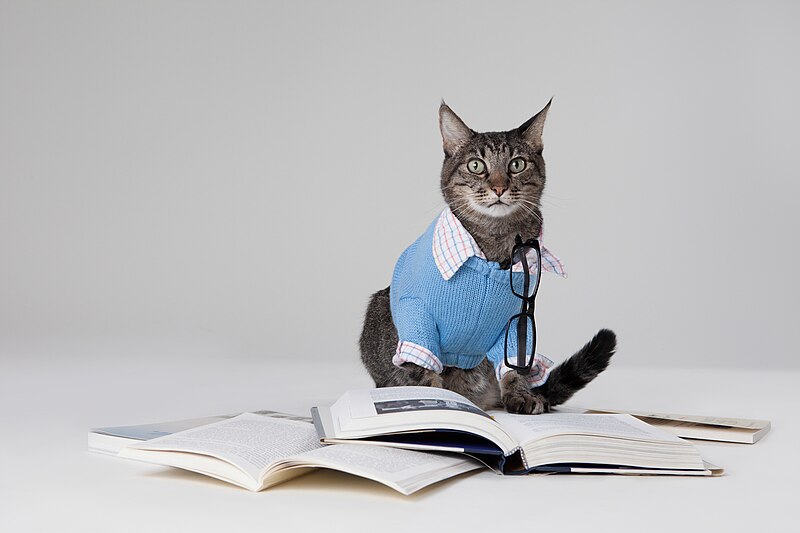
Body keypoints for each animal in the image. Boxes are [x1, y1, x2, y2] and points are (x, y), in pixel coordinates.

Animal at [360, 102, 616, 414]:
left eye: (517, 164)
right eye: (476, 166)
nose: (499, 187)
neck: (494, 245)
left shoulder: (517, 323)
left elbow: (514, 369)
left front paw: (521, 395)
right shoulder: (416, 318)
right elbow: (423, 371)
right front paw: (437, 405)